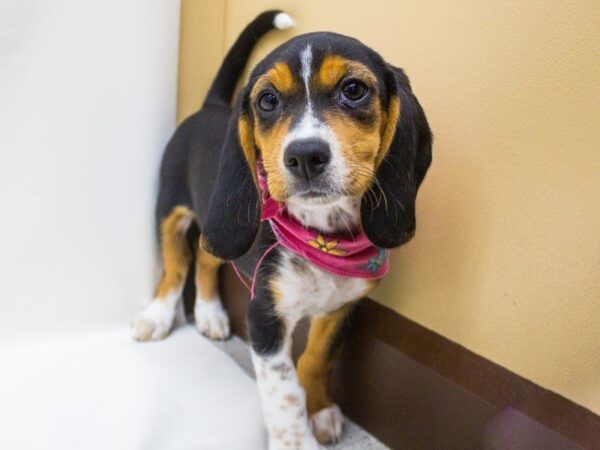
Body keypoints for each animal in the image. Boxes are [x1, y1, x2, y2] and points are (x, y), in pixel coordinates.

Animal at [131, 10, 432, 450]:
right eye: (268, 101)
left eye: (354, 89)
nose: (305, 156)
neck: (323, 235)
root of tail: (210, 106)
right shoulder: (264, 317)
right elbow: (284, 392)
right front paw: (297, 438)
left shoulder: (342, 307)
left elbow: (318, 357)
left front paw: (319, 408)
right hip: (171, 207)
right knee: (176, 265)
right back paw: (158, 316)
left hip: (220, 227)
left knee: (205, 257)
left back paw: (210, 313)